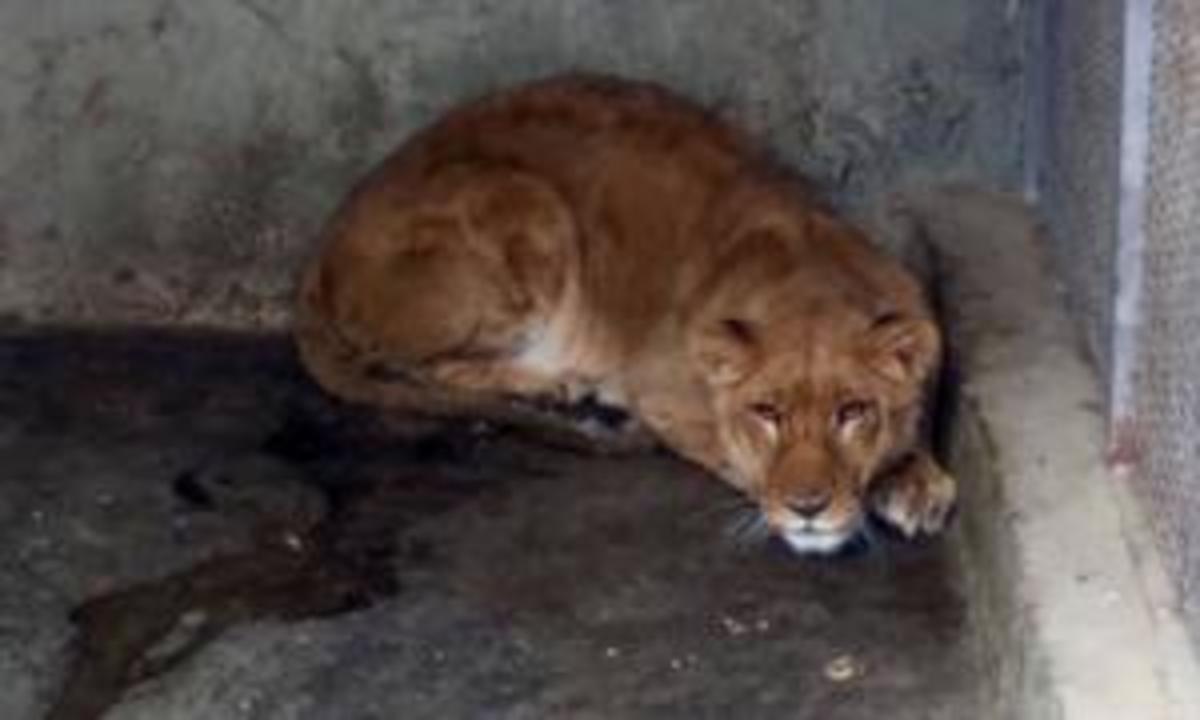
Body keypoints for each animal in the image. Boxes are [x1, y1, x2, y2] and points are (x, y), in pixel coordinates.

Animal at [295, 73, 960, 554]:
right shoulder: (661, 392)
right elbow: (734, 457)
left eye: (853, 412)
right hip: (528, 205)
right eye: (766, 414)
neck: (809, 272)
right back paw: (557, 385)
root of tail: (319, 253)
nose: (809, 509)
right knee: (421, 366)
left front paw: (917, 480)